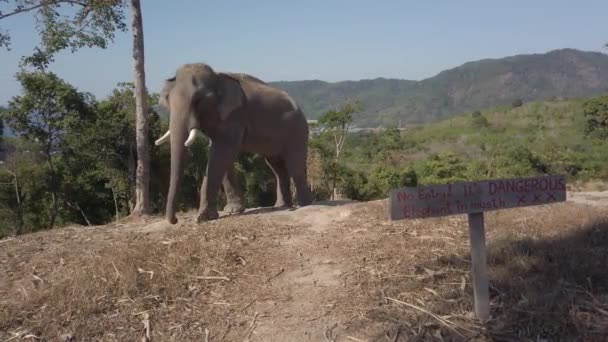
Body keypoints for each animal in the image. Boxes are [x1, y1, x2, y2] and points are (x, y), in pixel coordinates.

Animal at [154, 62, 314, 224]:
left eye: (199, 100)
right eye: (167, 99)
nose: (175, 220)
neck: (218, 77)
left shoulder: (235, 116)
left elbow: (221, 153)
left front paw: (203, 217)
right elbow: (222, 155)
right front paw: (233, 210)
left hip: (298, 131)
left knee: (295, 164)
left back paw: (304, 204)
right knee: (277, 166)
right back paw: (282, 206)